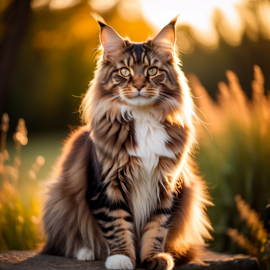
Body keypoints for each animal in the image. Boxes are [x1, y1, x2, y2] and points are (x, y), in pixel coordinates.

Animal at [41, 17, 212, 270]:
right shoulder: (107, 186)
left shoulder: (166, 184)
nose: (139, 85)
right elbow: (117, 225)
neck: (142, 119)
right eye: (124, 71)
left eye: (152, 70)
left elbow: (157, 227)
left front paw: (153, 258)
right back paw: (86, 252)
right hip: (60, 198)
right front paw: (121, 258)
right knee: (65, 241)